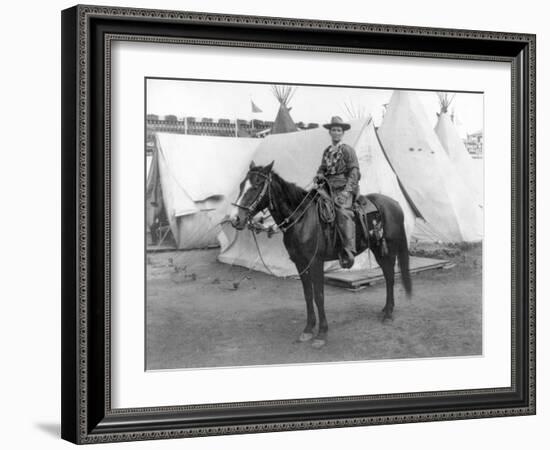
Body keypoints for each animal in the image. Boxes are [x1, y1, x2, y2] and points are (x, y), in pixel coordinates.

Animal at [230, 161, 414, 348]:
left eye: (256, 185)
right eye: (241, 185)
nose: (235, 219)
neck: (301, 218)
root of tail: (395, 204)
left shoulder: (316, 262)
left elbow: (319, 296)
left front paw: (322, 333)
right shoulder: (300, 264)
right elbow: (308, 295)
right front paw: (308, 329)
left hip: (388, 250)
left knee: (390, 276)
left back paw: (388, 314)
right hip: (378, 250)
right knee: (387, 274)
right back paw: (385, 309)